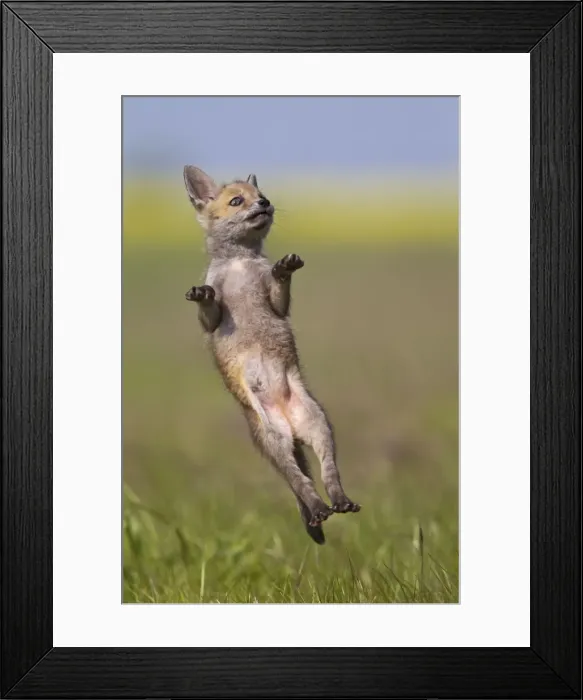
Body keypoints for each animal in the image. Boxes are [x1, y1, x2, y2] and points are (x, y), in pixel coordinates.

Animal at [183, 166, 360, 544]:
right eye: (237, 201)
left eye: (261, 195)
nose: (265, 204)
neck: (240, 264)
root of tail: (289, 424)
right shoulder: (212, 320)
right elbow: (209, 309)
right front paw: (202, 294)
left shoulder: (277, 304)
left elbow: (278, 292)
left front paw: (284, 269)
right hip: (276, 441)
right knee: (301, 483)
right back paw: (319, 509)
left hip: (320, 427)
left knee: (327, 476)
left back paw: (339, 501)